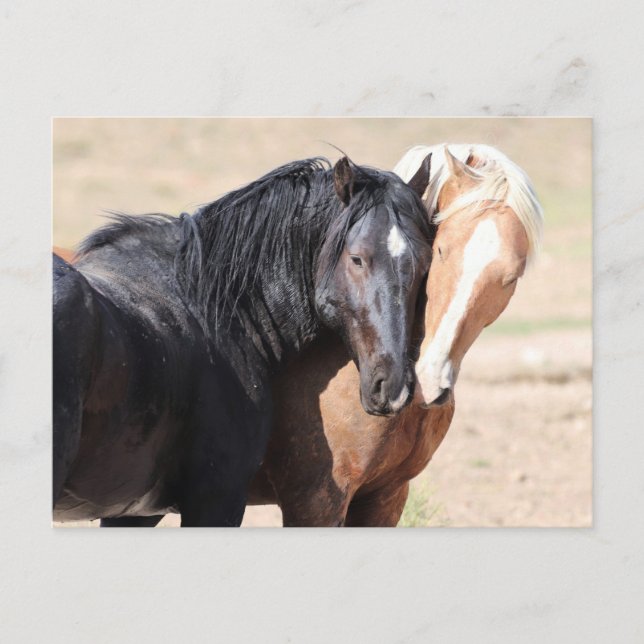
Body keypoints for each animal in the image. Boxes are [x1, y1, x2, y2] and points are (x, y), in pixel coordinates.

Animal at [53, 155, 434, 527]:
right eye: (357, 259)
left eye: (424, 264)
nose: (393, 387)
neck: (212, 310)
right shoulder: (218, 500)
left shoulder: (134, 513)